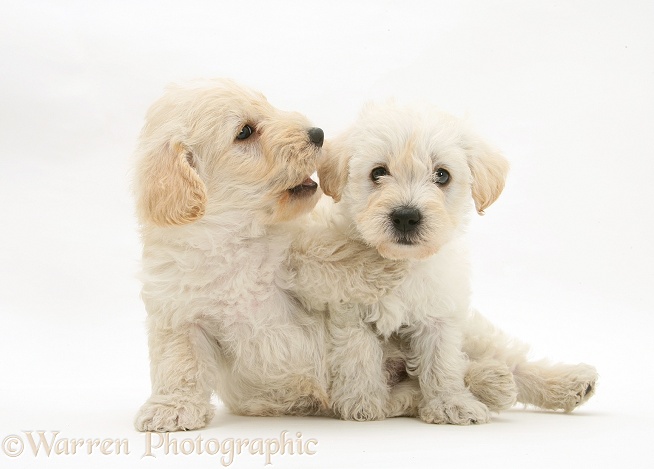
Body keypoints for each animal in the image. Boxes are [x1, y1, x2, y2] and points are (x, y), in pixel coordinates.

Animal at [132, 78, 404, 430]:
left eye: (268, 105)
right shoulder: (179, 315)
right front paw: (171, 407)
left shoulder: (300, 256)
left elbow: (327, 257)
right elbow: (179, 363)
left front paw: (379, 262)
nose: (318, 134)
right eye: (245, 132)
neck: (234, 238)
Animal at [318, 100, 600, 422]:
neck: (404, 263)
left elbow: (441, 363)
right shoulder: (349, 309)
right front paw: (362, 402)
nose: (406, 216)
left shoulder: (441, 313)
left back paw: (568, 383)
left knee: (511, 360)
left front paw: (450, 403)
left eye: (442, 175)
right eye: (378, 172)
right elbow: (359, 355)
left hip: (475, 332)